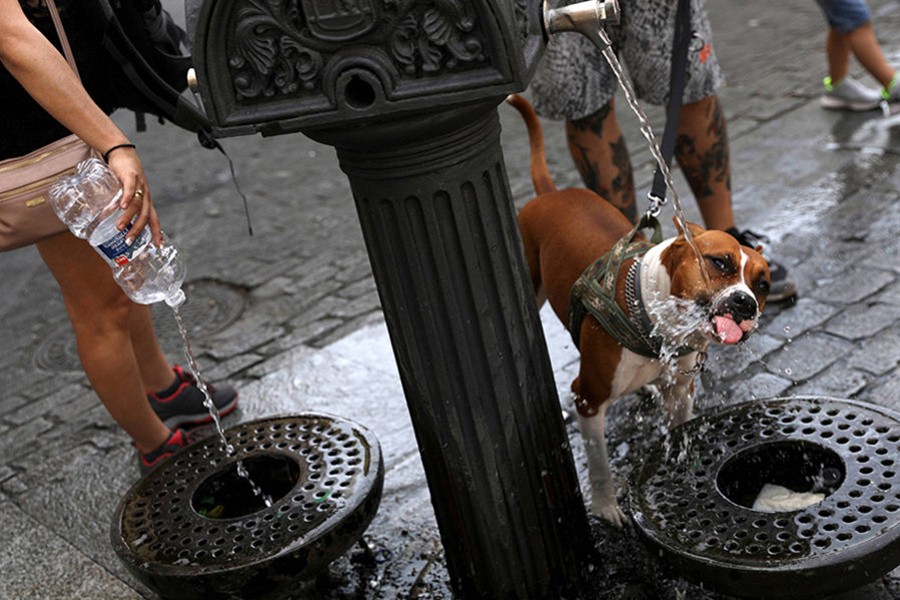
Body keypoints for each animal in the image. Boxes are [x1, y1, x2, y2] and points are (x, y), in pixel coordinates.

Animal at [510, 94, 768, 524]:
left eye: (762, 284)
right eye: (719, 262)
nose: (745, 303)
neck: (658, 320)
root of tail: (549, 192)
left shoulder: (681, 389)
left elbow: (680, 428)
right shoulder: (587, 397)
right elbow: (599, 464)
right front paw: (606, 507)